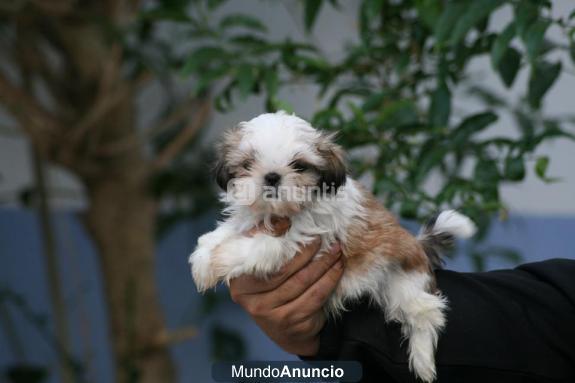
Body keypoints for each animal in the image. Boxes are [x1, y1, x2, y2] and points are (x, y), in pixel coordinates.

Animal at [190, 110, 476, 380]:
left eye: (299, 166)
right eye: (248, 163)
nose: (272, 177)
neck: (280, 212)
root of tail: (418, 246)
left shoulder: (304, 237)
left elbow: (263, 247)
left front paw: (222, 259)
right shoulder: (253, 218)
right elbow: (230, 229)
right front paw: (204, 258)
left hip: (403, 284)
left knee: (428, 312)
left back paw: (423, 361)